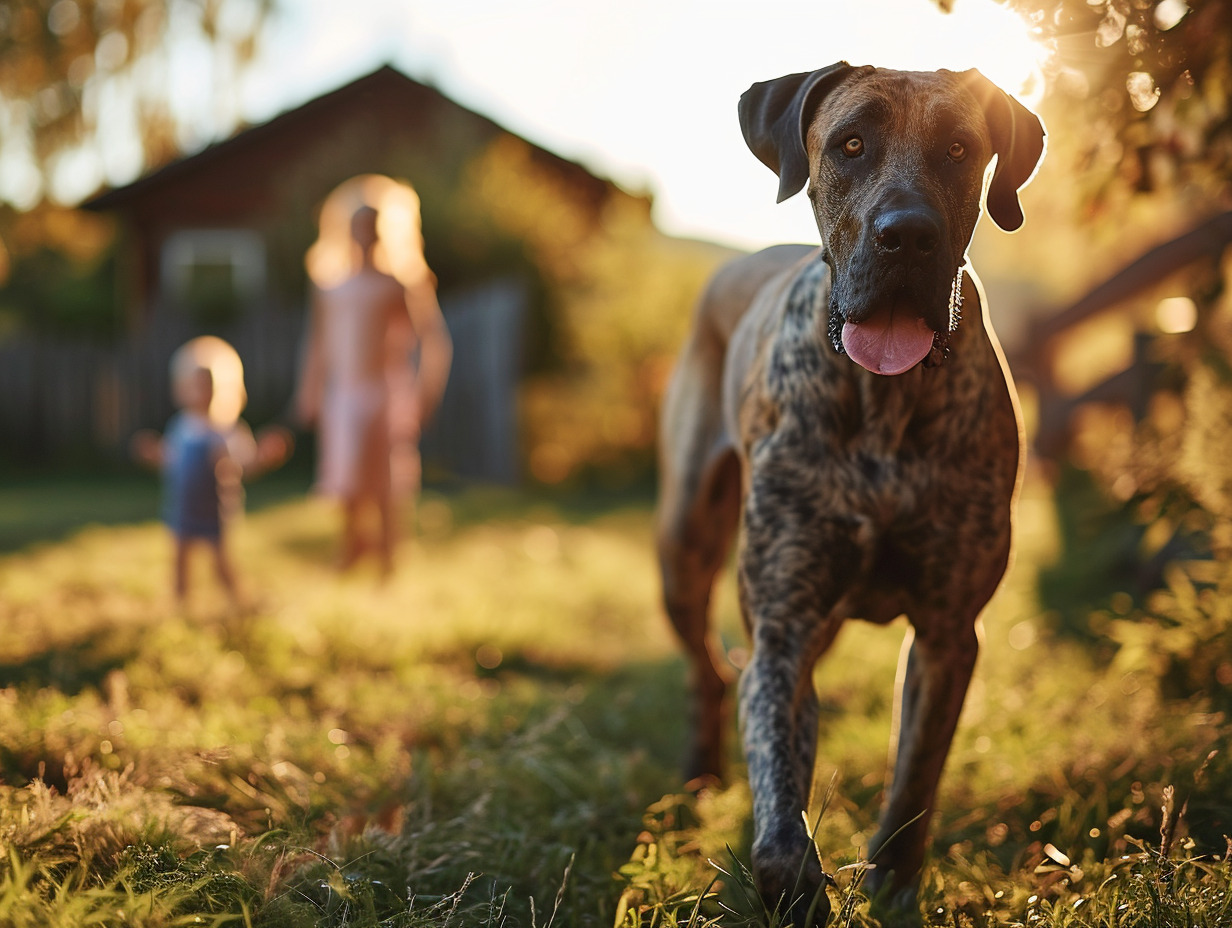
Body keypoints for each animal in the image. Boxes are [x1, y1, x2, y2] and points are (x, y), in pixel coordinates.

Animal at [655, 61, 1039, 921]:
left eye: (960, 148)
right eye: (851, 144)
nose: (907, 235)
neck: (883, 407)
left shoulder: (948, 633)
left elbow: (916, 780)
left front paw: (892, 883)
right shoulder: (784, 625)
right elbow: (778, 799)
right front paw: (794, 880)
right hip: (684, 545)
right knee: (710, 667)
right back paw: (700, 770)